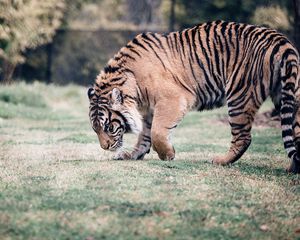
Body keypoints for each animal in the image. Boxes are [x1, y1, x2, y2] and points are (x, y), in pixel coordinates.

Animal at [88, 20, 298, 173]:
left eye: (108, 127)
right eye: (95, 129)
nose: (105, 147)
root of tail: (279, 39)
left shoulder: (174, 99)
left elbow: (157, 132)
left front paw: (168, 155)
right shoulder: (149, 109)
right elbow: (145, 135)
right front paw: (132, 155)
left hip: (240, 95)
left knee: (243, 137)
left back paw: (220, 160)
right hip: (287, 95)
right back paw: (293, 167)